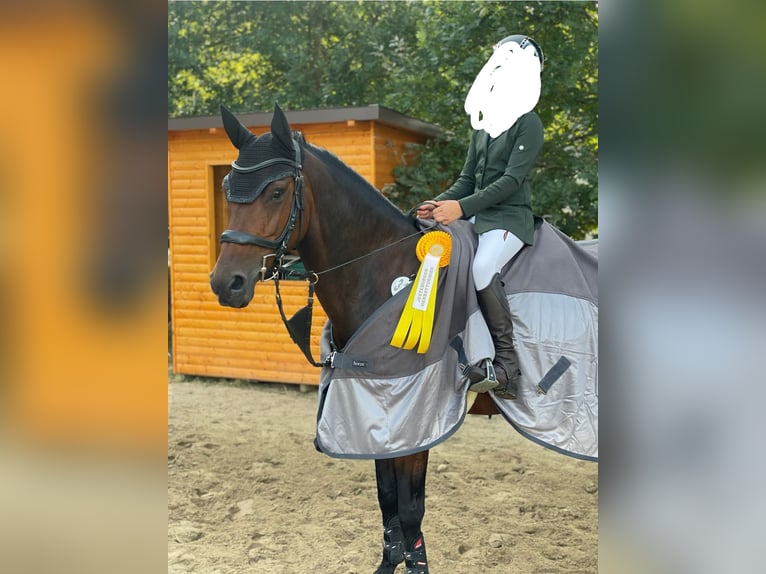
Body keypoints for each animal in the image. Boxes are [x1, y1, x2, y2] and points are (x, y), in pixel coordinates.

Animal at [210, 103, 500, 574]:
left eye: (276, 192)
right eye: (226, 188)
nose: (226, 283)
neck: (383, 275)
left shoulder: (419, 413)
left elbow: (411, 507)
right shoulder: (374, 401)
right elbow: (387, 498)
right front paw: (389, 563)